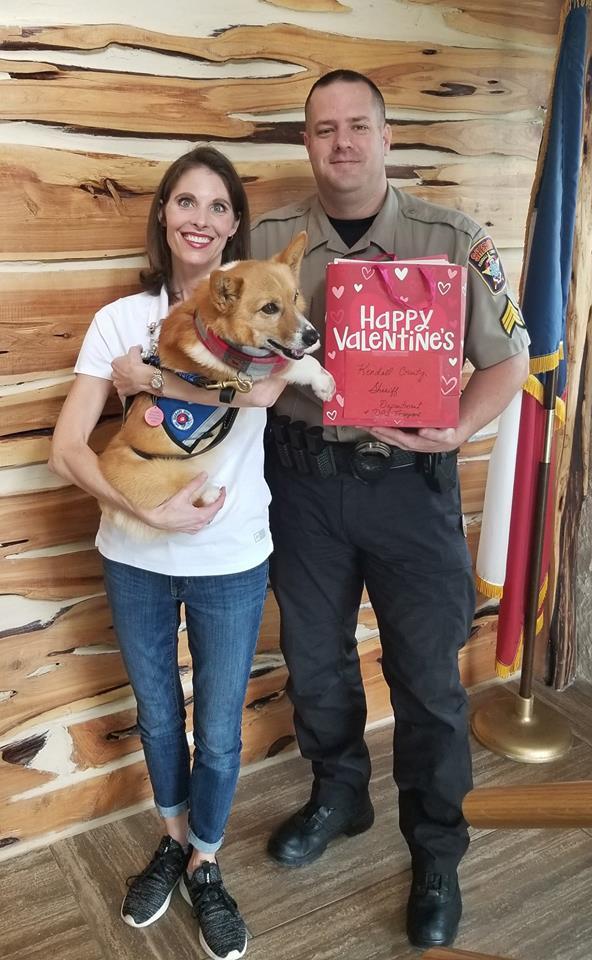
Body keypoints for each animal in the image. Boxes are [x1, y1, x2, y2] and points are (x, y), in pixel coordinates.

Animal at [99, 230, 336, 536]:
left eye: (295, 297)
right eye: (270, 308)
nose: (313, 336)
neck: (214, 330)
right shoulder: (247, 373)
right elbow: (295, 363)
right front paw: (324, 382)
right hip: (161, 471)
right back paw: (209, 492)